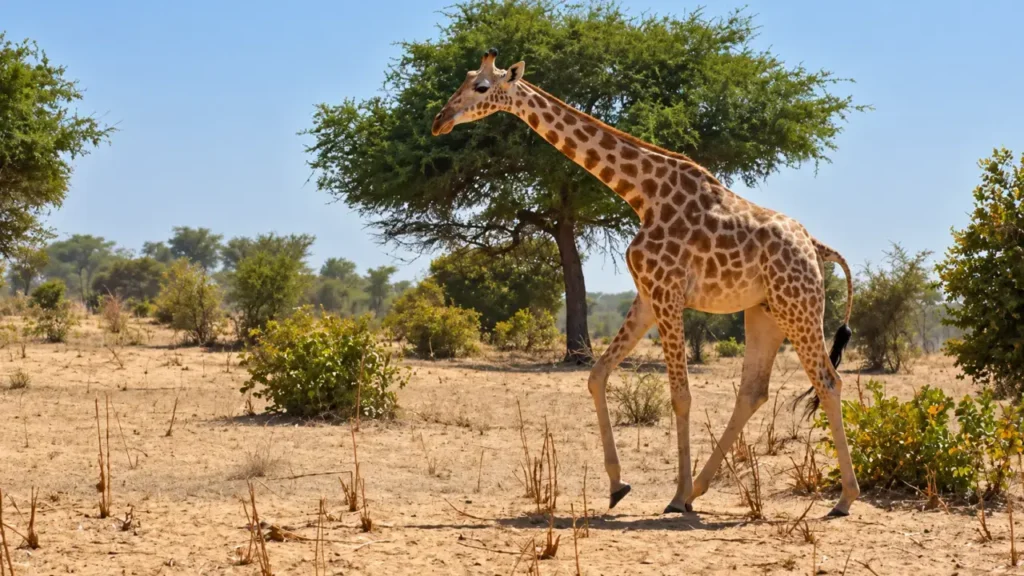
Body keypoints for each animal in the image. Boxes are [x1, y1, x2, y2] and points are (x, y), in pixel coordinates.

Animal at [432, 49, 860, 517]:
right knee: (753, 391)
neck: (642, 194)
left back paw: (843, 498)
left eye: (481, 87)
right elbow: (597, 374)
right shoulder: (648, 296)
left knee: (829, 382)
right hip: (763, 312)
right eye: (465, 79)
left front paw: (673, 496)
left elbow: (681, 395)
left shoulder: (667, 292)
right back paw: (701, 489)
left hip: (798, 306)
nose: (439, 120)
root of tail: (816, 247)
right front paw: (619, 485)